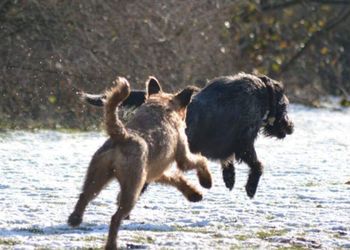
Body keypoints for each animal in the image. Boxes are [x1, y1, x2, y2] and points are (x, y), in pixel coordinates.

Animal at [67, 77, 212, 249]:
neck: (160, 106)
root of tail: (123, 137)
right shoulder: (183, 157)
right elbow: (200, 160)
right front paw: (206, 181)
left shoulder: (155, 172)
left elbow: (176, 178)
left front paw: (194, 194)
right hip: (132, 187)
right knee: (115, 217)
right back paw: (112, 244)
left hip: (97, 176)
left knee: (84, 196)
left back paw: (75, 219)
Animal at [80, 73, 294, 198]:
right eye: (284, 106)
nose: (291, 127)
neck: (262, 94)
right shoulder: (244, 143)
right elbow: (257, 165)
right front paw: (250, 187)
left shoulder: (227, 145)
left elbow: (228, 161)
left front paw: (230, 178)